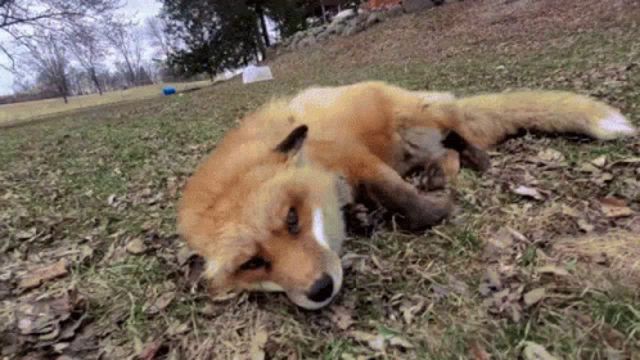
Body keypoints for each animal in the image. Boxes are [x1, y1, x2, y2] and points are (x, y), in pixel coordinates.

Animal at [178, 82, 636, 310]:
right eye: (253, 263)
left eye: (292, 219)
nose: (321, 289)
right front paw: (364, 216)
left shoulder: (356, 158)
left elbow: (402, 199)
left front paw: (436, 213)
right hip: (415, 144)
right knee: (446, 151)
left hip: (416, 119)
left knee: (458, 136)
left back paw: (476, 159)